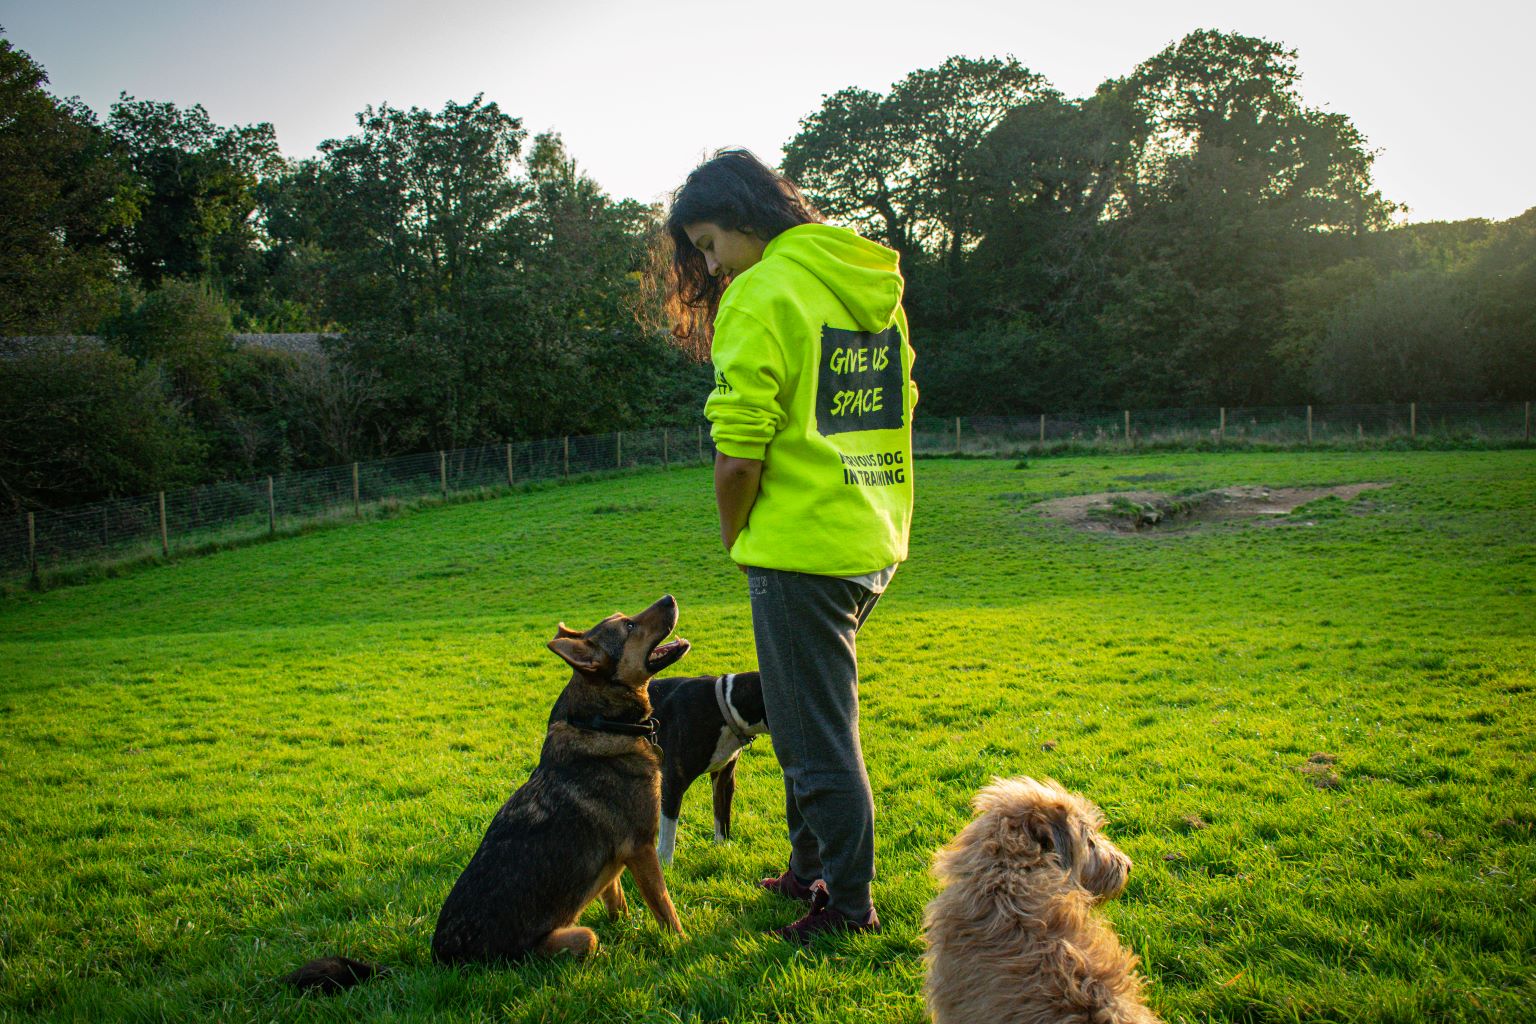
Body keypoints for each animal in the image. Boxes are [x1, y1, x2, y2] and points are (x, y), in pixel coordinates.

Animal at [287, 595, 691, 988]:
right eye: (630, 626)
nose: (670, 597)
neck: (604, 723)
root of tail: (439, 964)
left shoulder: (617, 861)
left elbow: (616, 899)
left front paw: (627, 927)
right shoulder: (642, 848)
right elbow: (665, 907)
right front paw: (683, 945)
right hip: (578, 936)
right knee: (589, 941)